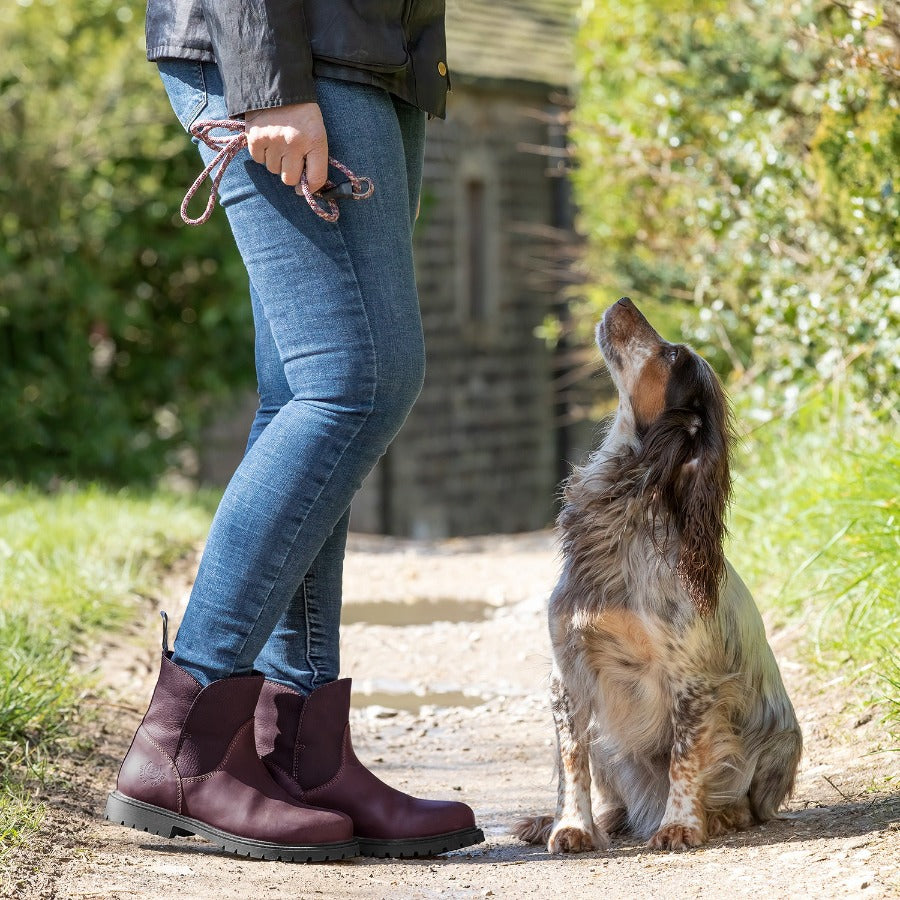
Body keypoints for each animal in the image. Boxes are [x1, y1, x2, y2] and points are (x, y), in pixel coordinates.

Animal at [512, 298, 800, 856]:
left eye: (669, 356)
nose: (624, 302)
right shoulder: (567, 671)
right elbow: (572, 761)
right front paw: (570, 826)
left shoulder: (691, 679)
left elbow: (685, 760)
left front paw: (681, 825)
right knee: (612, 796)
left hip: (780, 744)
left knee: (749, 802)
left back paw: (722, 815)